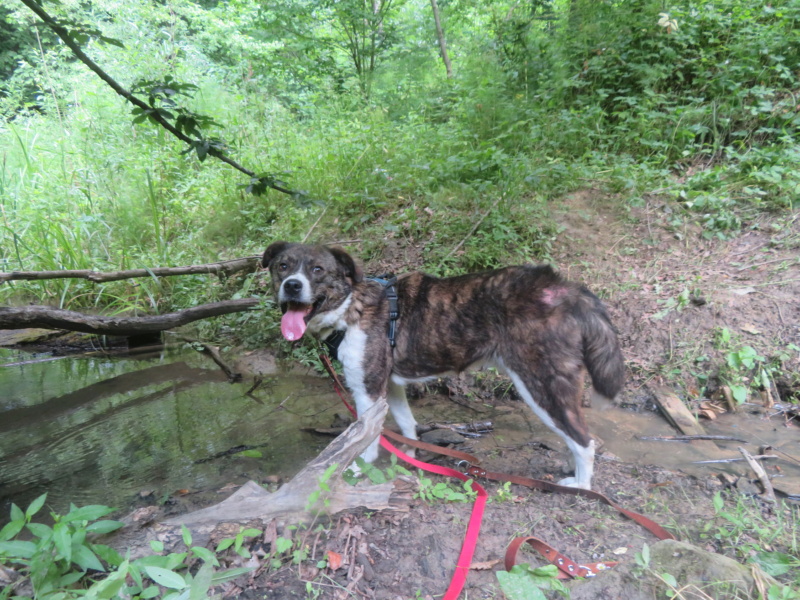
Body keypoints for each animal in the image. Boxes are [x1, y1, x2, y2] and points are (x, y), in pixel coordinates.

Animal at [262, 241, 624, 490]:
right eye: (283, 266)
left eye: (318, 270)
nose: (292, 285)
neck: (351, 307)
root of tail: (564, 288)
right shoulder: (390, 386)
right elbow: (407, 425)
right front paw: (410, 458)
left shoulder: (368, 389)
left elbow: (366, 437)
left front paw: (359, 467)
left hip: (542, 384)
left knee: (584, 440)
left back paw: (581, 484)